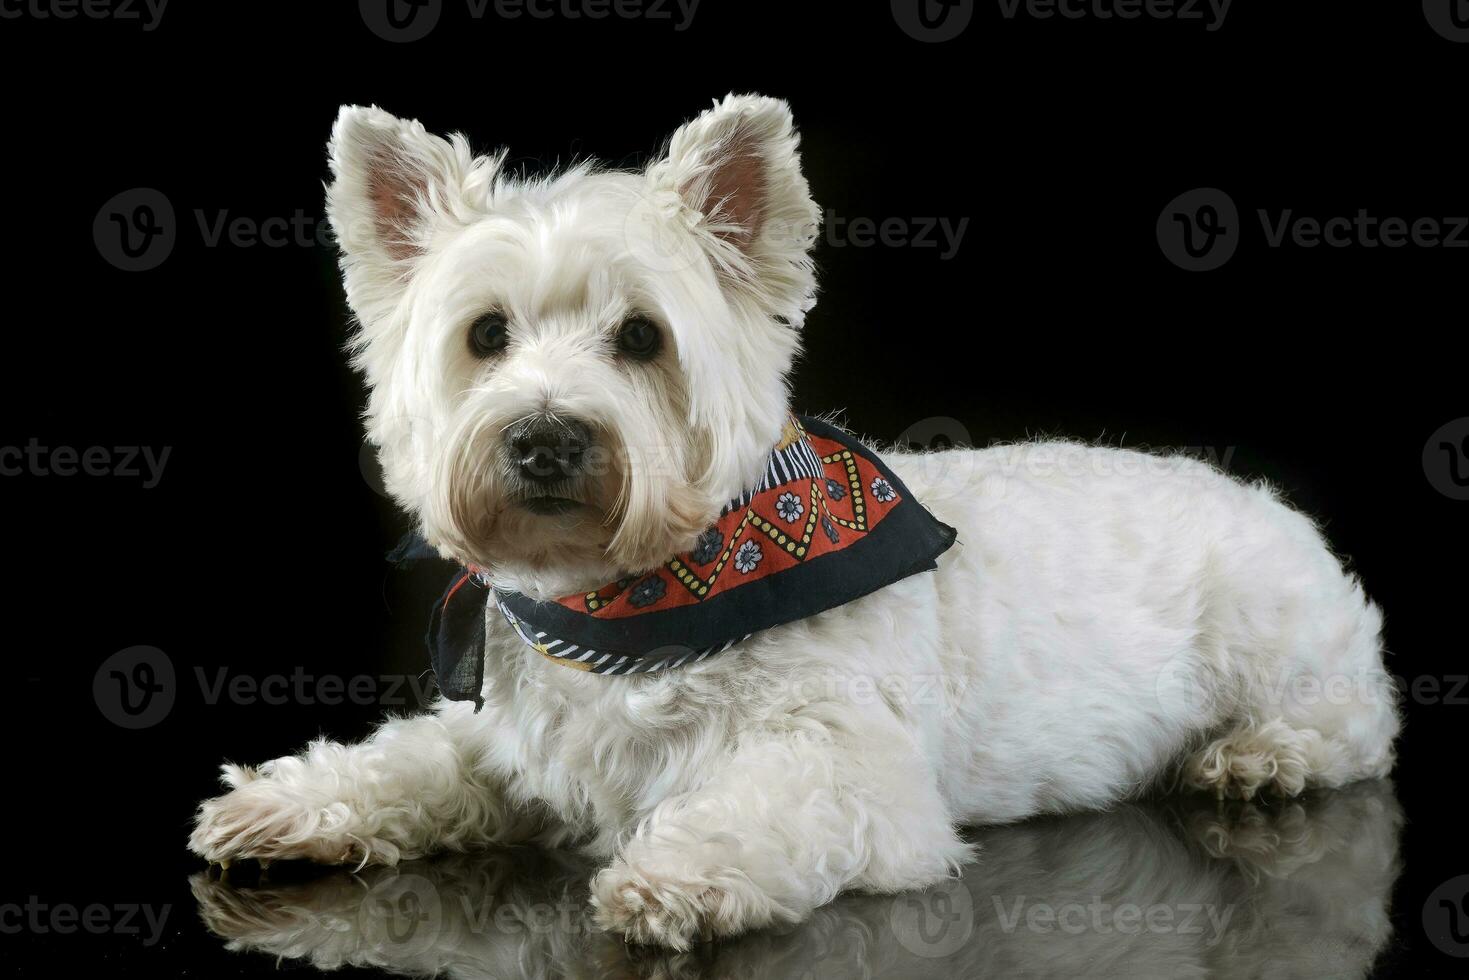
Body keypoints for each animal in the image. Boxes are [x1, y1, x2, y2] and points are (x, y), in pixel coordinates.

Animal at [186, 94, 1398, 952]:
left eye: (641, 337)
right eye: (485, 334)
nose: (542, 439)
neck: (632, 596)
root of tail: (1256, 493)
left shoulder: (857, 773)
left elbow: (761, 806)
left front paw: (674, 874)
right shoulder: (500, 742)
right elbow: (405, 761)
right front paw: (287, 802)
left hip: (1278, 642)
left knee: (1356, 721)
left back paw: (1255, 756)